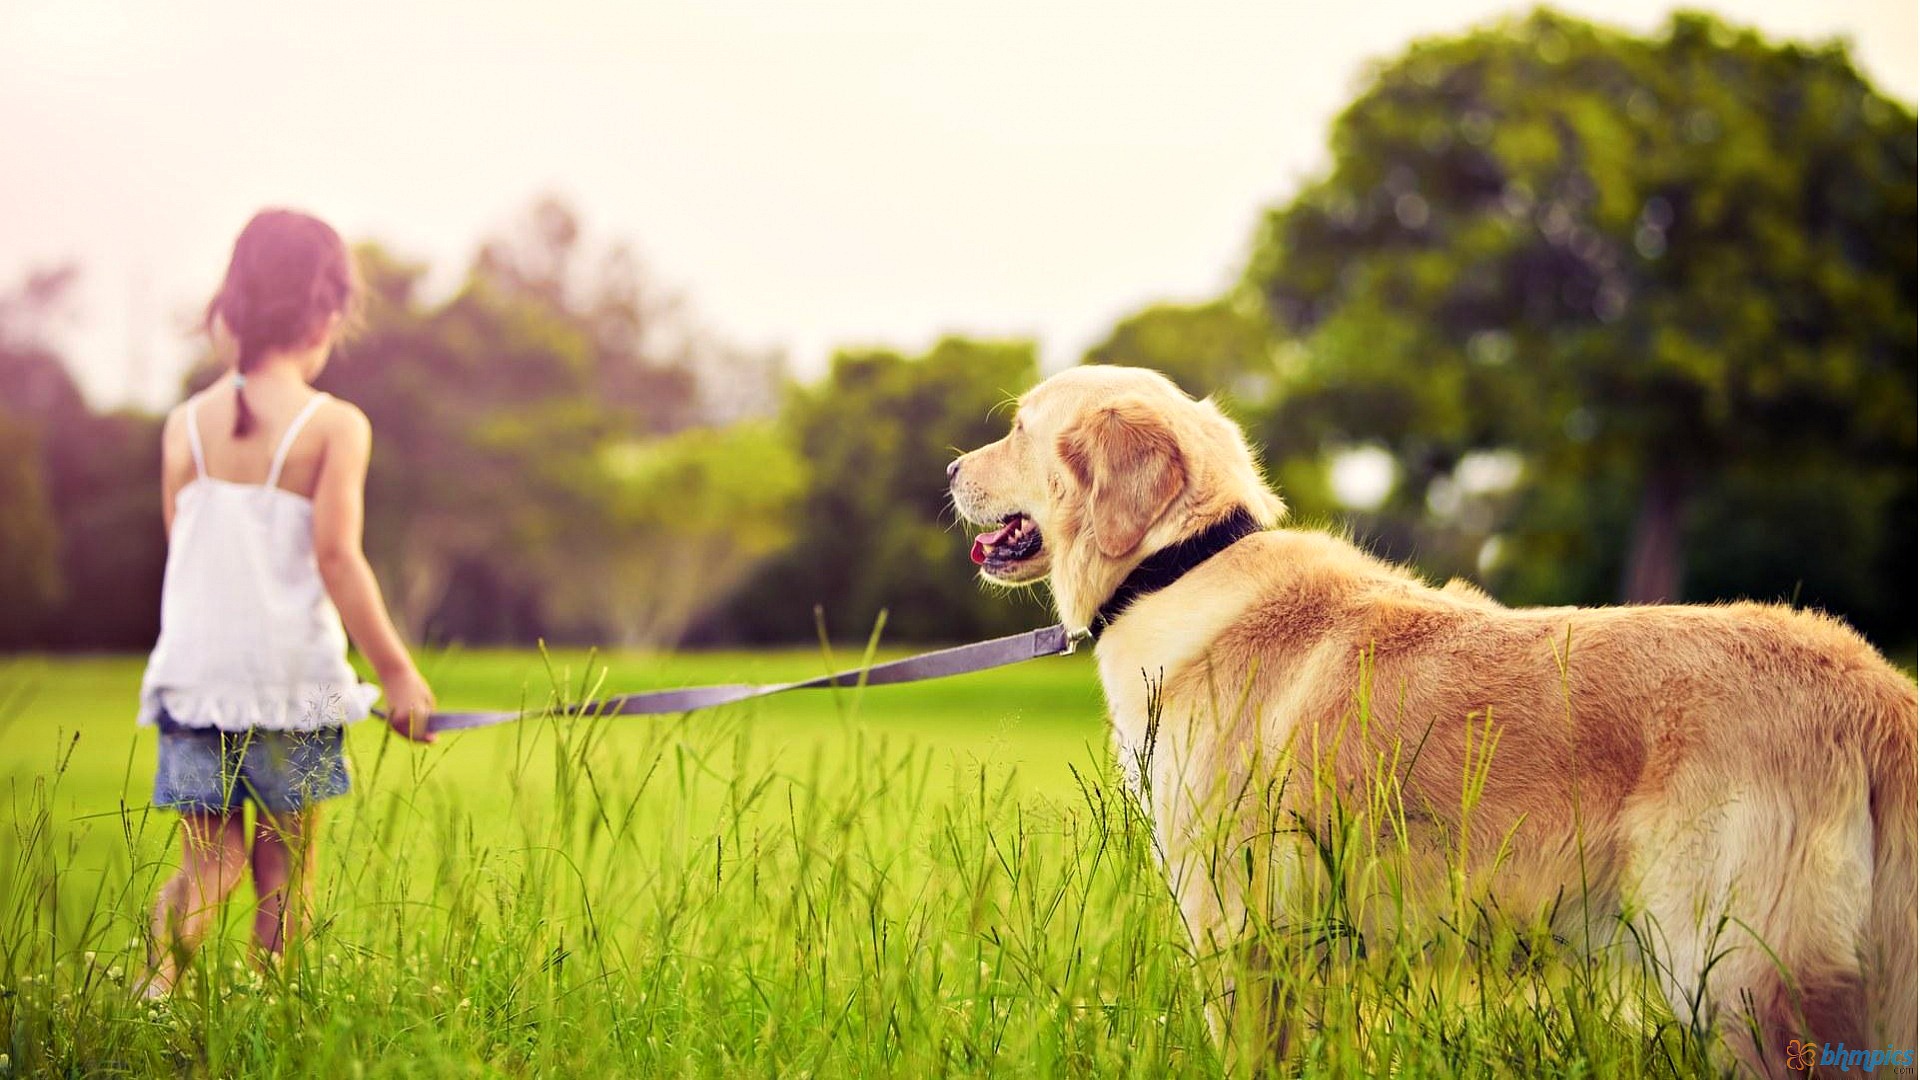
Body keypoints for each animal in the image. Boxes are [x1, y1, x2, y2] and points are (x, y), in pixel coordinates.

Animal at [952, 365, 1912, 1068]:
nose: (952, 470)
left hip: (1738, 978)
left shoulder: (1236, 924)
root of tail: (1873, 687)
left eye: (1021, 429)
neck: (1179, 563)